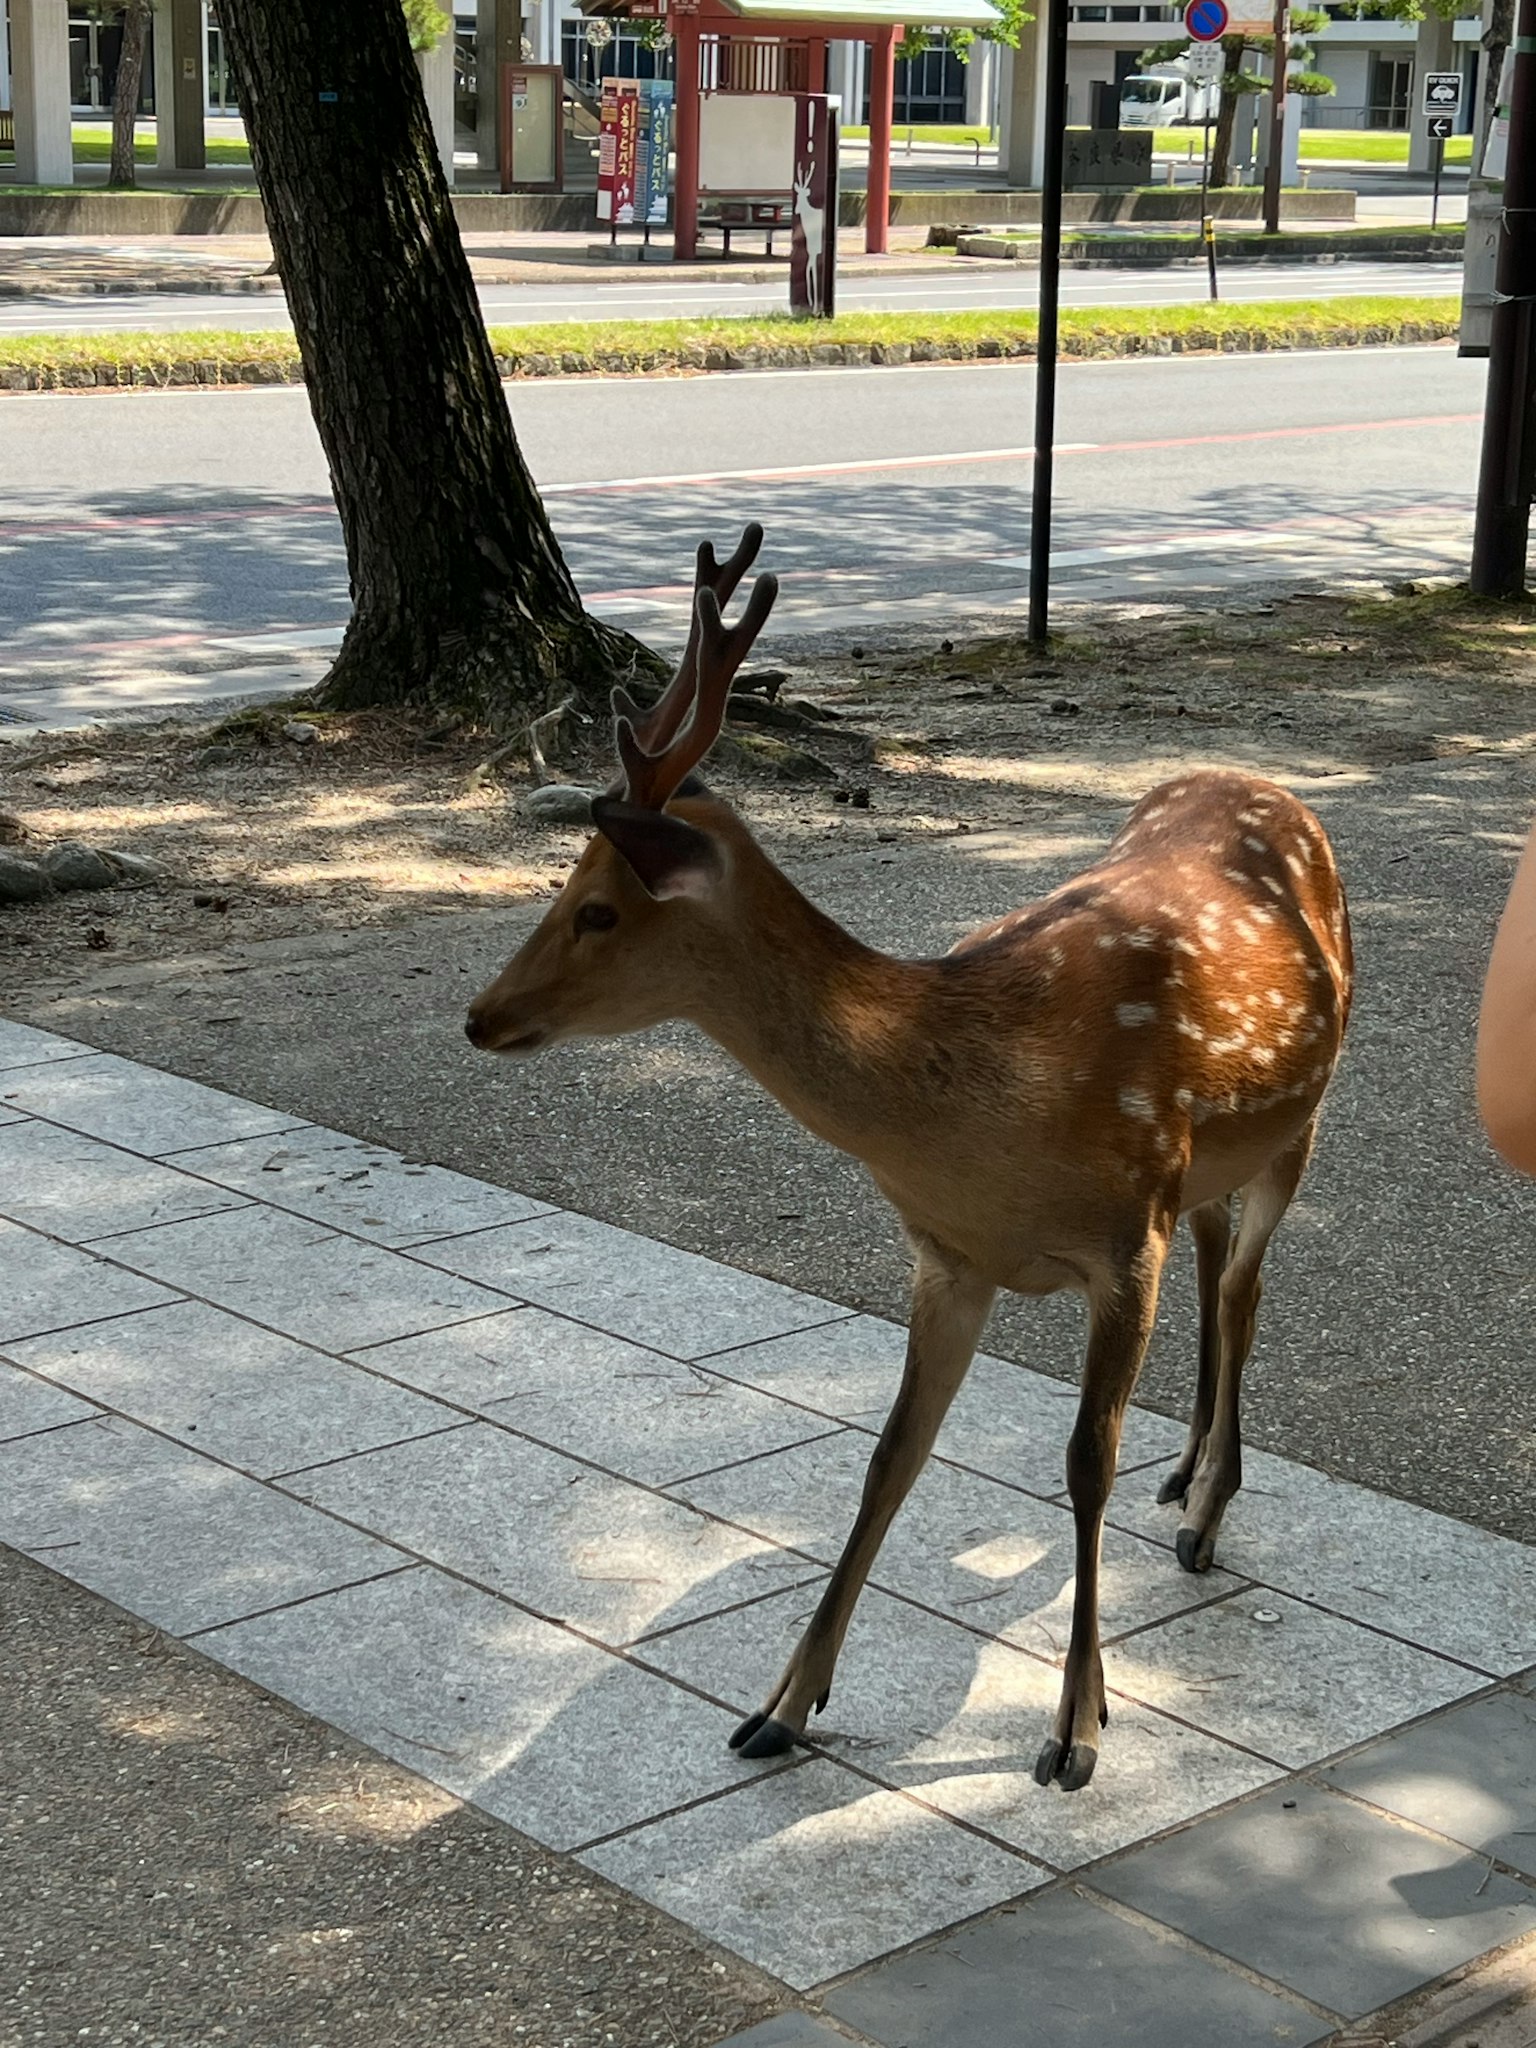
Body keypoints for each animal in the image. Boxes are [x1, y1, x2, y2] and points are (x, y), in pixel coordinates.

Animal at [465, 525, 1354, 1791]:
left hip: (1302, 1116)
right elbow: (891, 1454)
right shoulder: (948, 1253)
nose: (481, 1016)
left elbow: (1083, 1460)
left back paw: (1207, 1511)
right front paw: (781, 1703)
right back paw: (1185, 1472)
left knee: (1245, 1281)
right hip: (1209, 1154)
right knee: (1220, 1249)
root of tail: (1265, 782)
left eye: (597, 908)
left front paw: (1076, 1729)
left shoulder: (1123, 1231)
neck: (984, 1109)